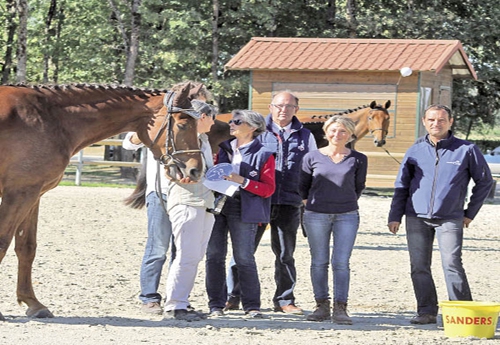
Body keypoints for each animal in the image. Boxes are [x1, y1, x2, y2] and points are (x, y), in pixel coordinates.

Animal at [0, 80, 205, 318]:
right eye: (183, 124)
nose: (195, 170)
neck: (48, 118)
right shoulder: (20, 192)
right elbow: (3, 242)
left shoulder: (33, 194)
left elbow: (26, 247)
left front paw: (33, 303)